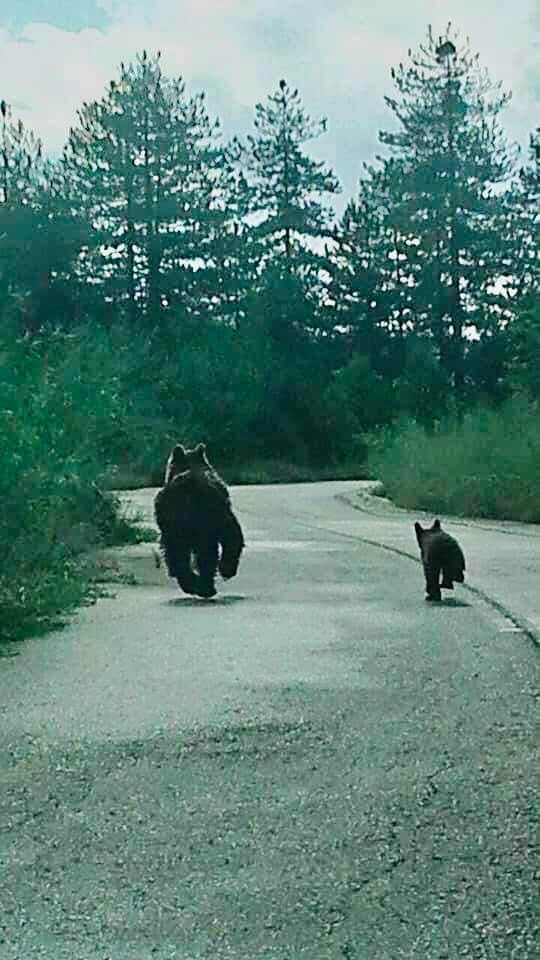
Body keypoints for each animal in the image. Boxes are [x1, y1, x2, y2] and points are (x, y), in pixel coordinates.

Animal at [153, 444, 244, 596]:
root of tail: (189, 490)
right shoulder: (224, 516)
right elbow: (233, 537)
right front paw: (227, 570)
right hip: (201, 520)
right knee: (204, 552)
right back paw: (205, 587)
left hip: (174, 522)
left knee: (176, 552)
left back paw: (191, 583)